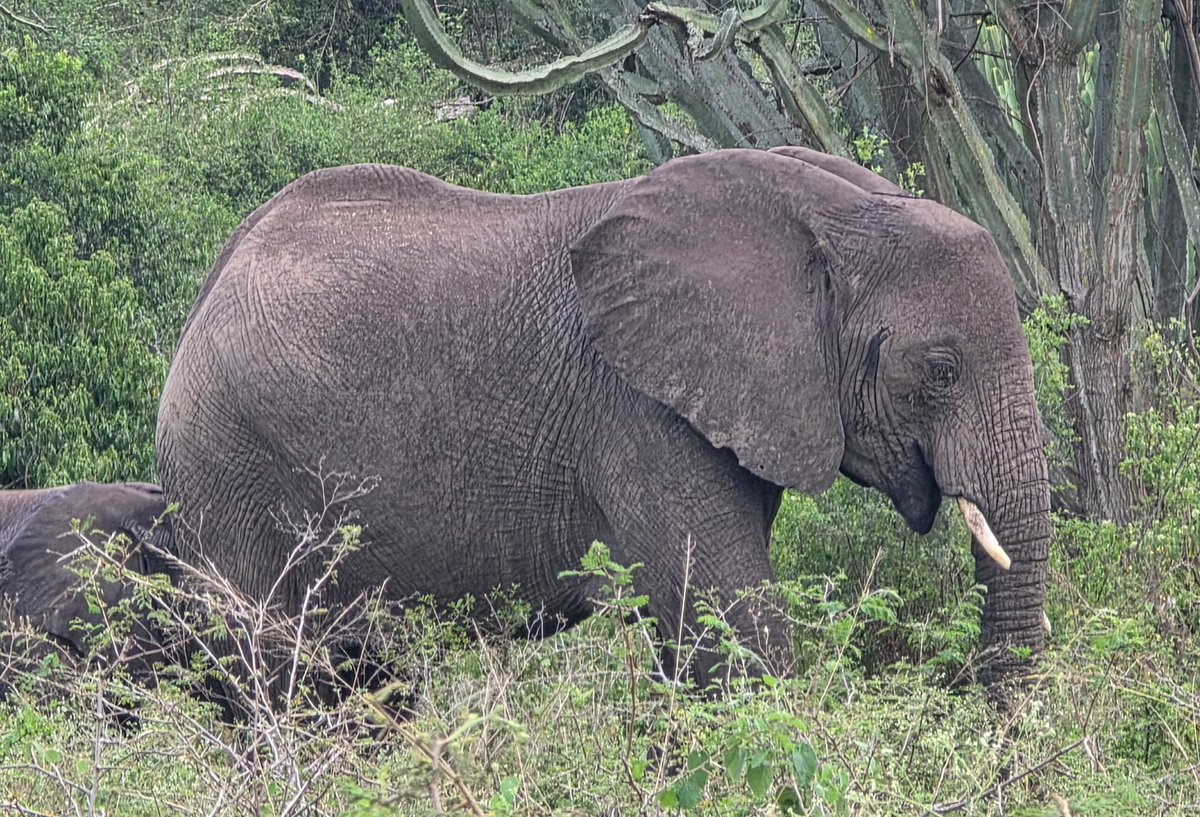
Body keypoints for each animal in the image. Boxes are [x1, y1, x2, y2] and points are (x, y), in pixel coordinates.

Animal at [156, 146, 1051, 696]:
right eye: (940, 370)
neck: (838, 210)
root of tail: (212, 281)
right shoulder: (639, 413)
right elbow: (730, 623)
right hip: (231, 464)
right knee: (280, 670)